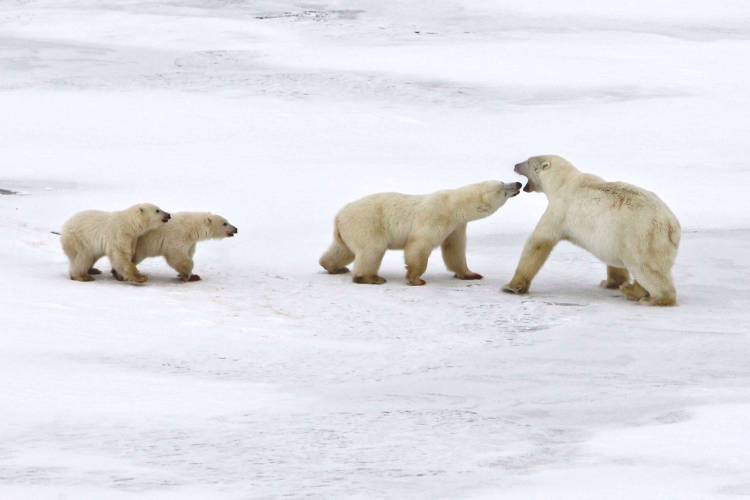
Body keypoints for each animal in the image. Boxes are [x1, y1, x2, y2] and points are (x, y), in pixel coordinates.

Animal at [318, 182, 524, 288]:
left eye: (503, 183)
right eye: (503, 189)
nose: (518, 183)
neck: (453, 205)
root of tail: (338, 217)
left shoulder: (456, 226)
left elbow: (455, 250)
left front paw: (471, 274)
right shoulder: (436, 216)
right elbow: (419, 245)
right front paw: (415, 279)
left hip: (348, 231)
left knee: (342, 250)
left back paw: (333, 267)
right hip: (367, 224)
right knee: (372, 249)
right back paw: (371, 278)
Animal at [506, 155, 680, 304]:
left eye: (528, 162)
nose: (515, 165)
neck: (563, 182)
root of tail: (671, 225)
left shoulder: (560, 209)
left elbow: (539, 242)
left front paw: (511, 287)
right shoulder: (611, 235)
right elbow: (612, 258)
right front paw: (610, 283)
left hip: (641, 236)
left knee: (646, 268)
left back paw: (654, 299)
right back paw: (631, 289)